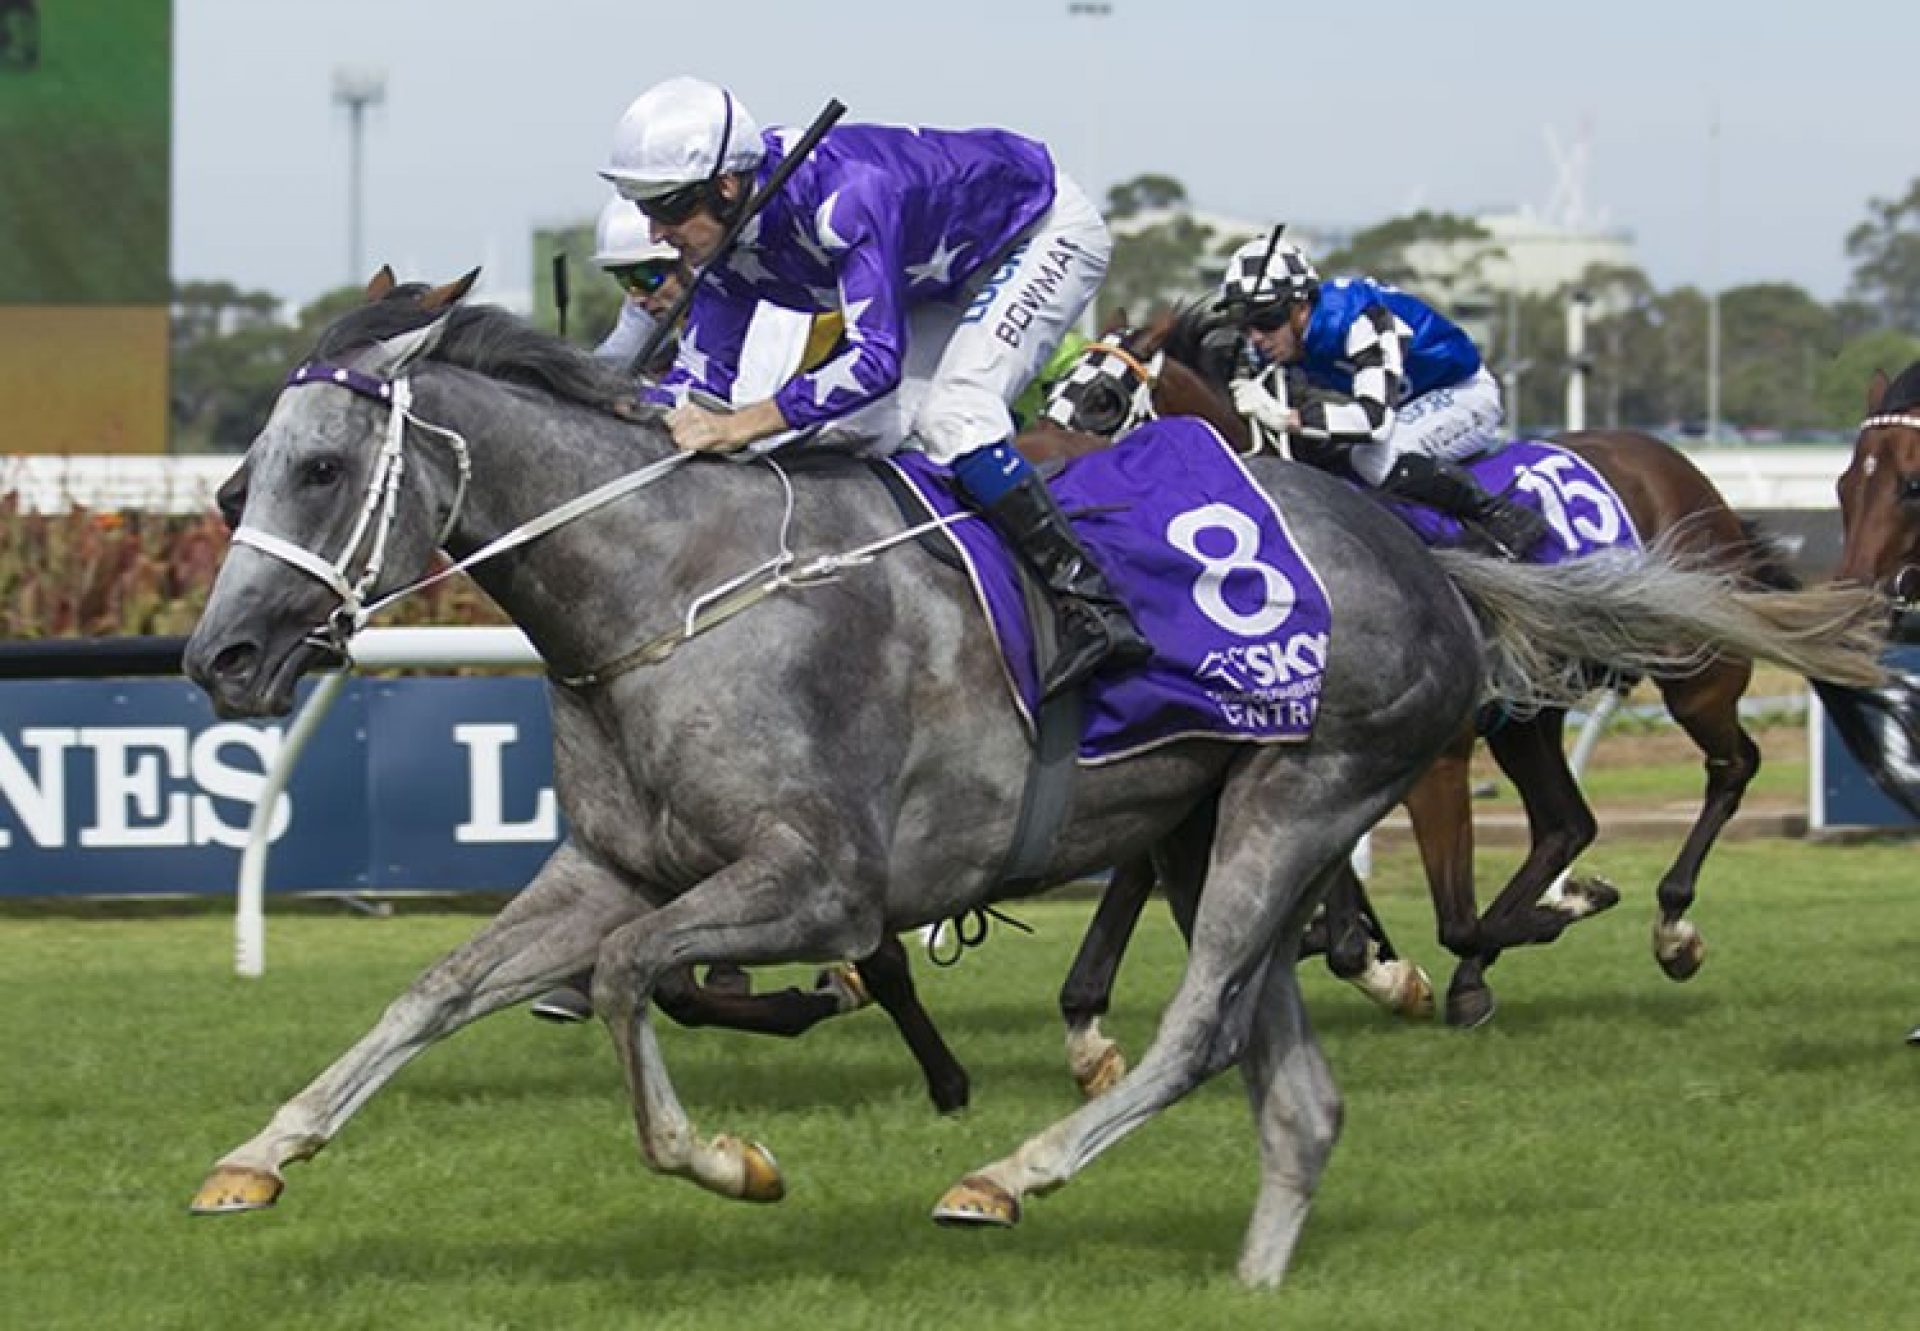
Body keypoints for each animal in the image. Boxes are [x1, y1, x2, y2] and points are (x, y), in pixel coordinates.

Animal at [172, 274, 1881, 1282]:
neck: (670, 586)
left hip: (1303, 798)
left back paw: (1009, 1171)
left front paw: (729, 1157)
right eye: (234, 479)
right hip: (1204, 827)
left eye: (321, 467)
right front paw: (257, 1155)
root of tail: (1427, 547)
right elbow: (440, 986)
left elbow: (621, 981)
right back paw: (1251, 1268)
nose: (223, 656)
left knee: (1201, 1035)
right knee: (1296, 1091)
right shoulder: (617, 862)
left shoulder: (817, 882)